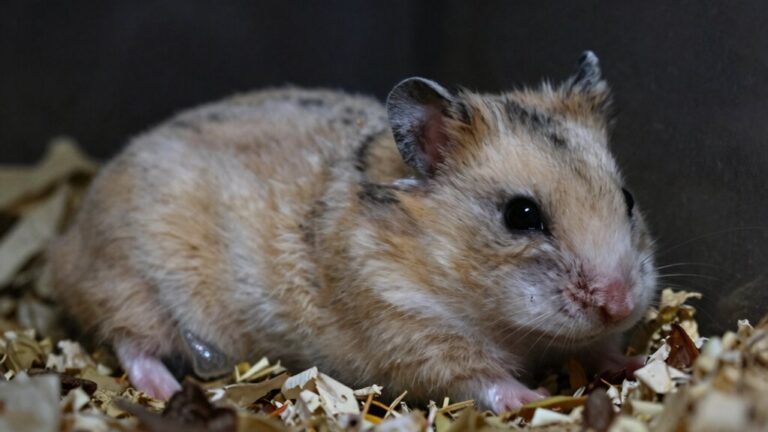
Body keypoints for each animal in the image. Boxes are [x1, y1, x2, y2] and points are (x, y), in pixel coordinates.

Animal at [48, 51, 656, 413]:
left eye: (628, 199)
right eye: (521, 215)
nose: (621, 303)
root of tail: (65, 244)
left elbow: (601, 348)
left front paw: (632, 362)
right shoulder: (411, 334)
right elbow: (478, 377)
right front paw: (530, 397)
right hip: (134, 285)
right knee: (132, 344)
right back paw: (167, 389)